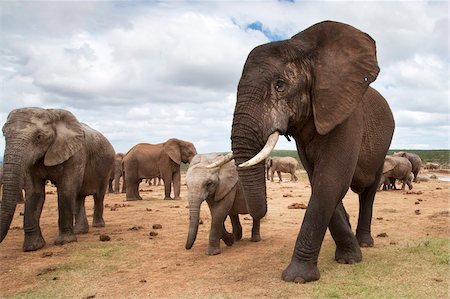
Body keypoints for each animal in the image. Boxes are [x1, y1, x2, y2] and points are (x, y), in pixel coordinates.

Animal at [0, 107, 116, 251]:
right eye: (4, 134)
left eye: (39, 137)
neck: (51, 114)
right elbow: (34, 193)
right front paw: (32, 247)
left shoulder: (76, 154)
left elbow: (66, 189)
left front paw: (65, 242)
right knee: (79, 197)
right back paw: (80, 231)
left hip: (106, 165)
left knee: (98, 196)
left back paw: (98, 226)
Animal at [225, 21, 394, 284]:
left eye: (280, 85)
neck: (308, 50)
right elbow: (320, 182)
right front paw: (347, 256)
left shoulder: (345, 114)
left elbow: (331, 180)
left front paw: (298, 277)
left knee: (368, 191)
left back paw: (365, 243)